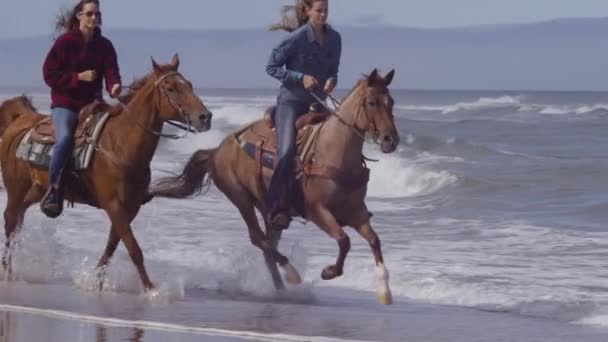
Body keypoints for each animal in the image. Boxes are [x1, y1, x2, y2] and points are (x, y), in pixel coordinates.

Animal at [0, 53, 213, 292]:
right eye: (171, 88)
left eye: (189, 85)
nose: (205, 117)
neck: (119, 146)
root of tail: (19, 120)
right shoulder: (114, 205)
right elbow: (133, 248)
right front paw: (151, 290)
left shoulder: (130, 208)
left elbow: (112, 246)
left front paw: (96, 282)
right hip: (15, 190)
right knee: (10, 221)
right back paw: (7, 272)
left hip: (36, 191)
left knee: (18, 222)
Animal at [151, 68, 400, 304]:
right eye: (372, 102)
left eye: (391, 102)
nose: (391, 140)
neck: (333, 151)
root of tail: (217, 150)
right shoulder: (317, 211)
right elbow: (344, 240)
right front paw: (329, 272)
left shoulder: (356, 212)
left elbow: (374, 241)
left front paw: (385, 292)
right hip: (240, 198)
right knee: (258, 238)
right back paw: (292, 275)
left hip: (269, 209)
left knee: (269, 247)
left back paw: (282, 289)